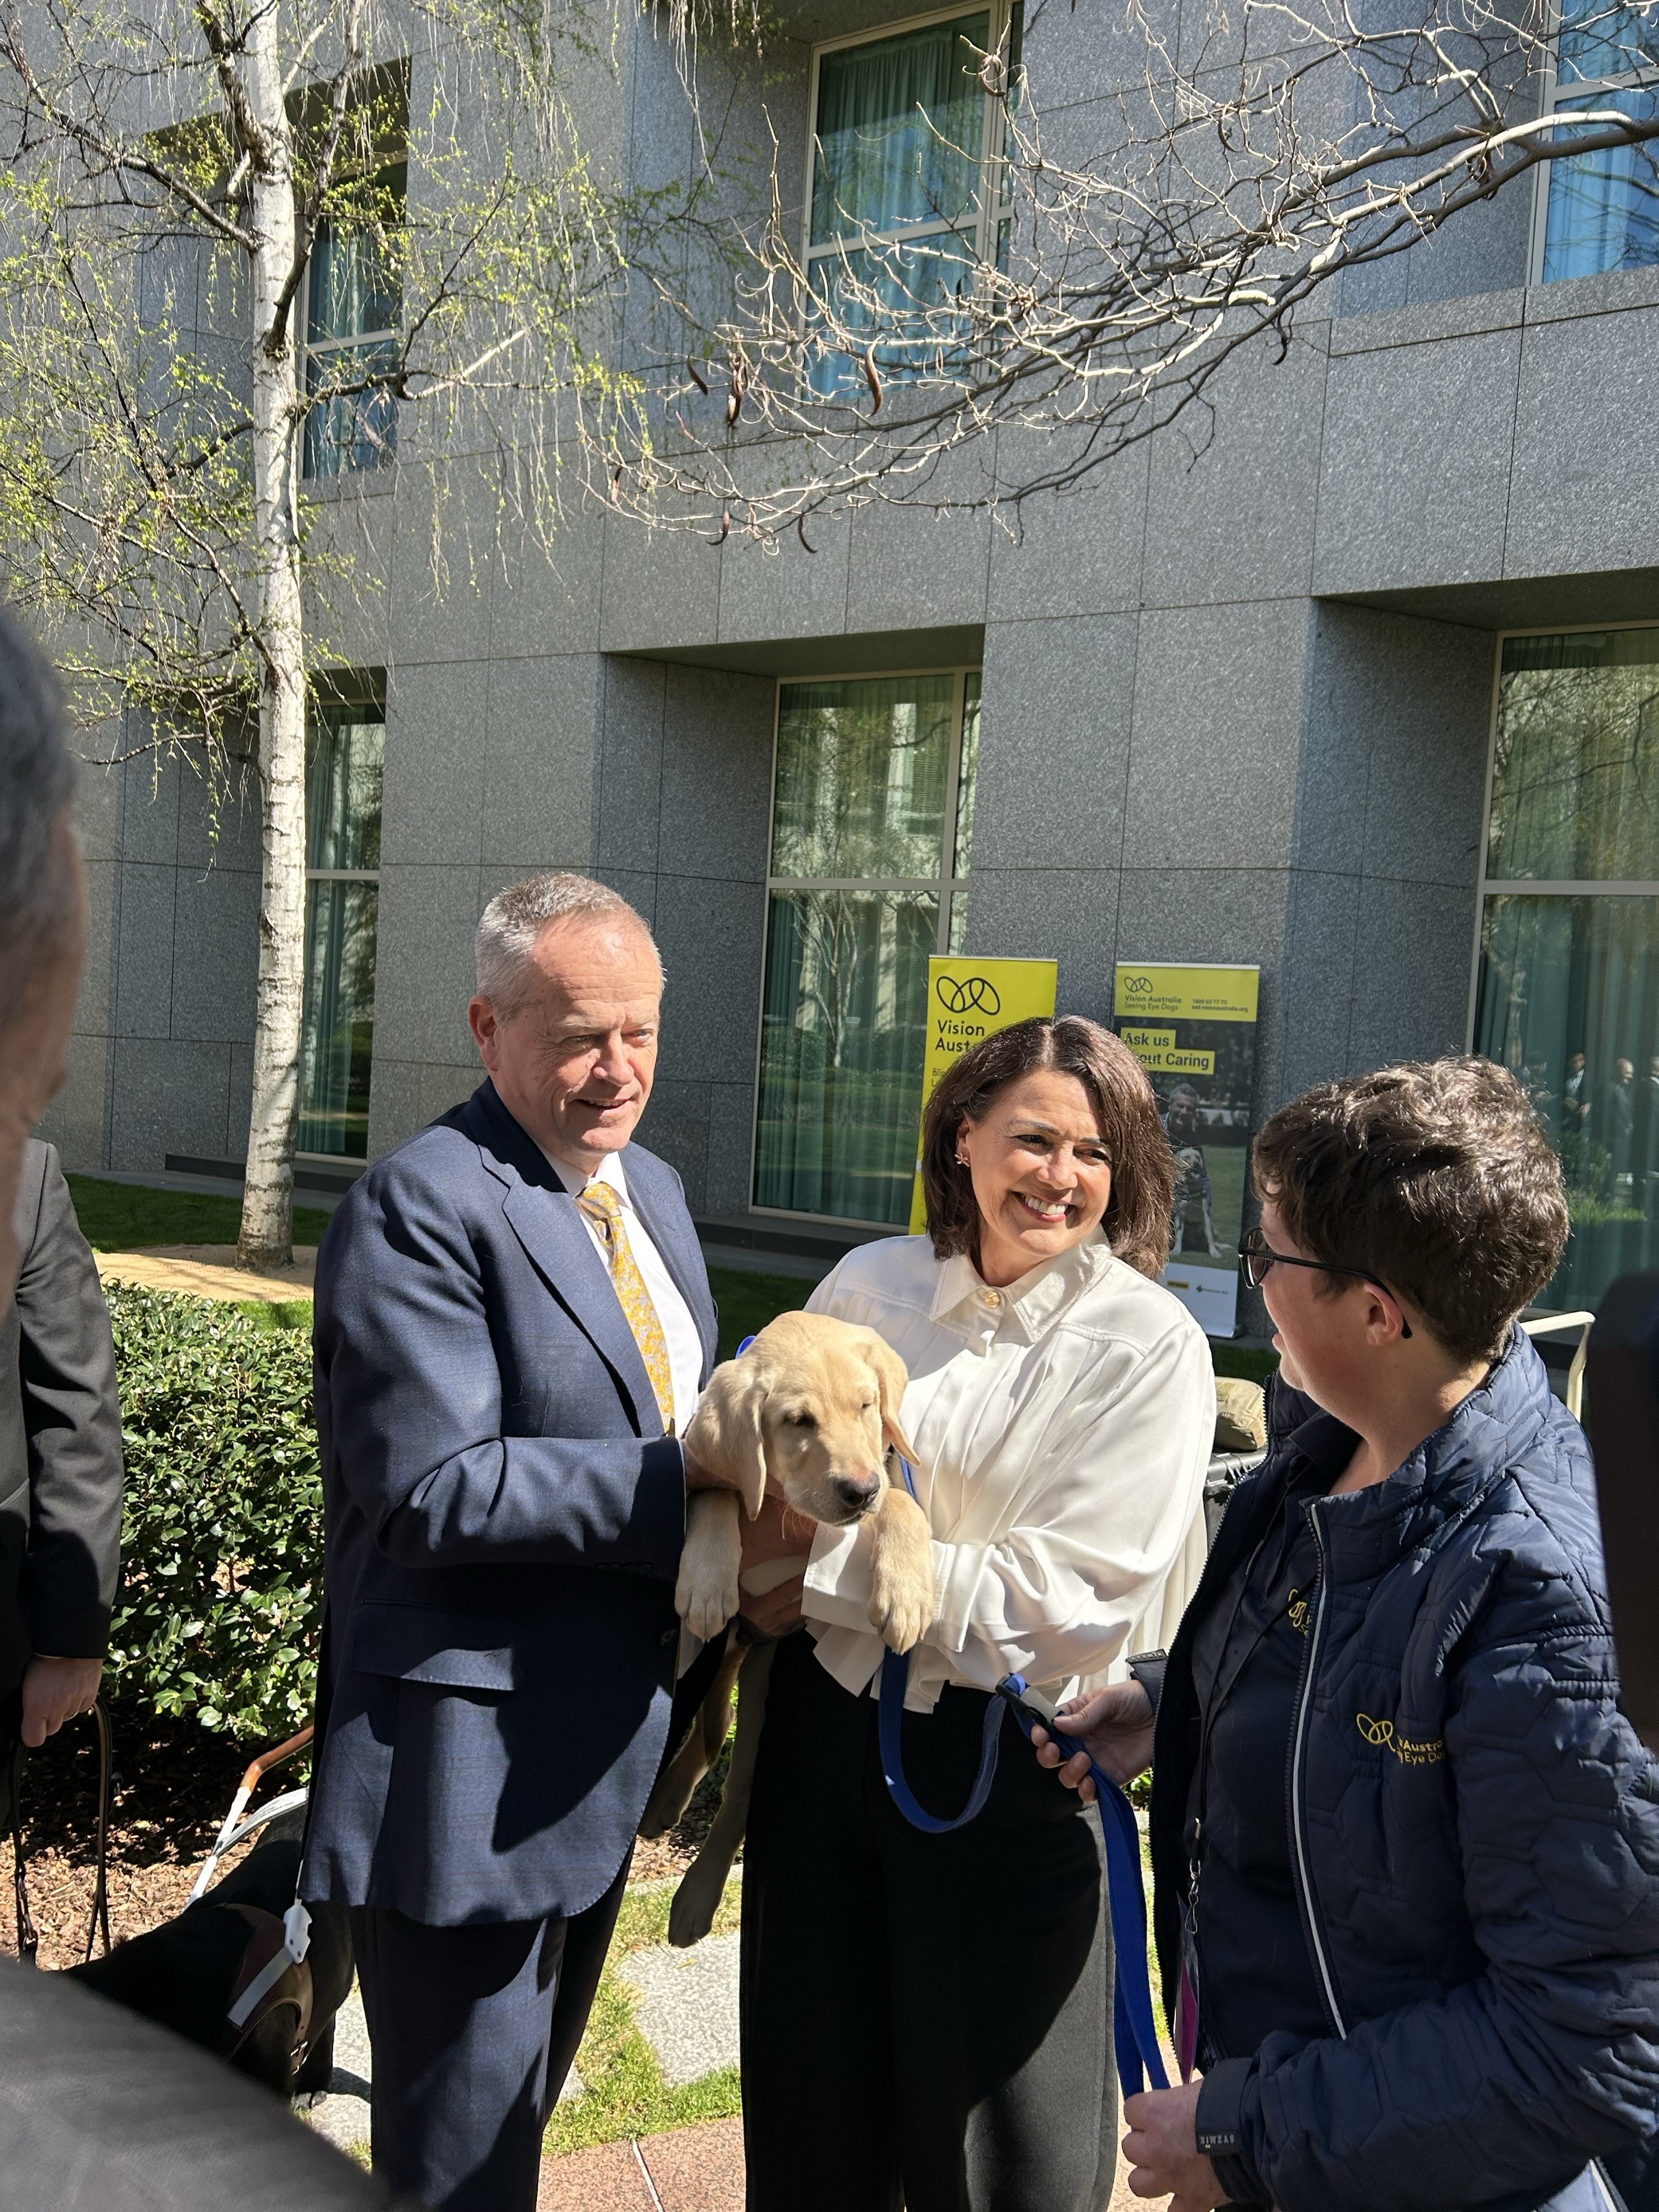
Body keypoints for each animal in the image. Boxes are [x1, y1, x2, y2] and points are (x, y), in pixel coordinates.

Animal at [645, 1309, 938, 1955]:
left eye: (867, 1405)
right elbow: (718, 1488)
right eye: (797, 1421)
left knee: (734, 1782)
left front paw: (907, 1590)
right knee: (716, 1733)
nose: (858, 1492)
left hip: (762, 1676)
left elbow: (905, 1505)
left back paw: (693, 1882)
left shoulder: (886, 1470)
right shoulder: (709, 1471)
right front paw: (707, 1578)